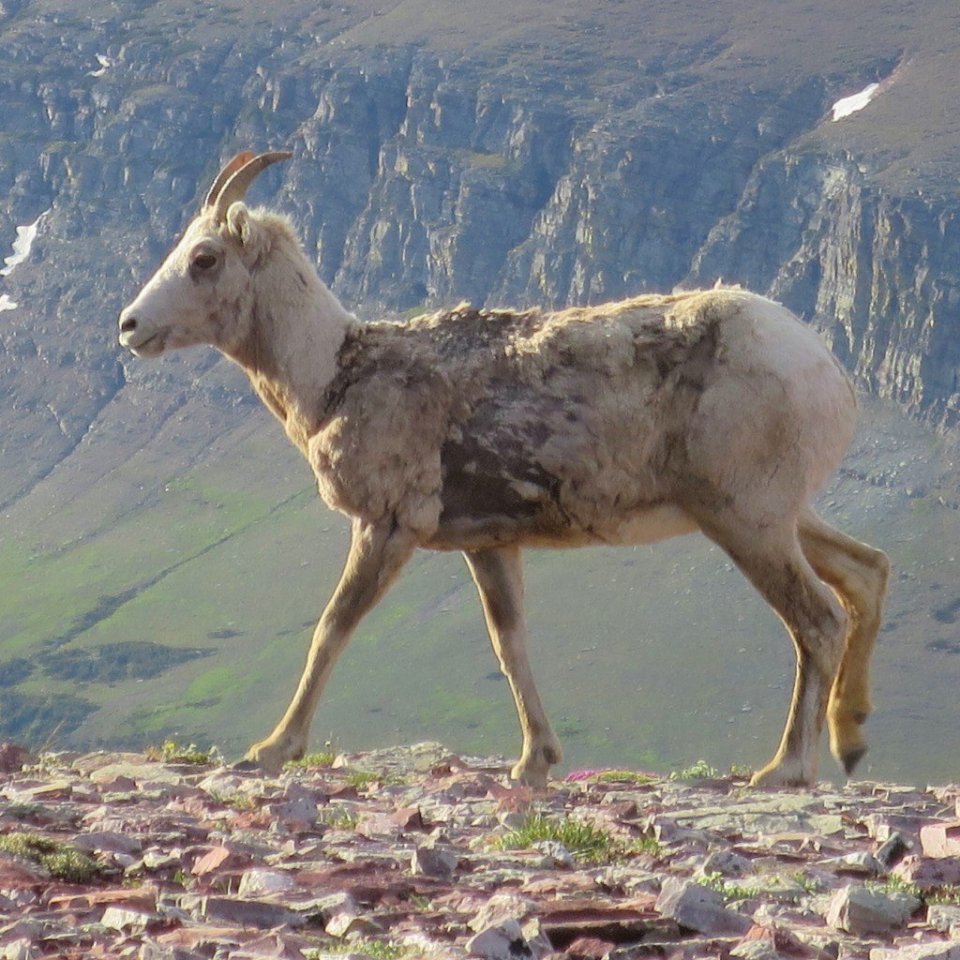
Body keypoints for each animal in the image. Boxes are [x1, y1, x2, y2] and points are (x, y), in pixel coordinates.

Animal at [118, 150, 889, 788]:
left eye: (205, 258)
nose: (129, 326)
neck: (334, 375)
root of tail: (827, 369)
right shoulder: (489, 543)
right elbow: (509, 642)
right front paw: (534, 762)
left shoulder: (389, 525)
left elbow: (333, 625)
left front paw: (273, 749)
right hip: (778, 515)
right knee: (865, 572)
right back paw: (849, 743)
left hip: (746, 519)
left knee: (819, 619)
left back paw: (785, 768)